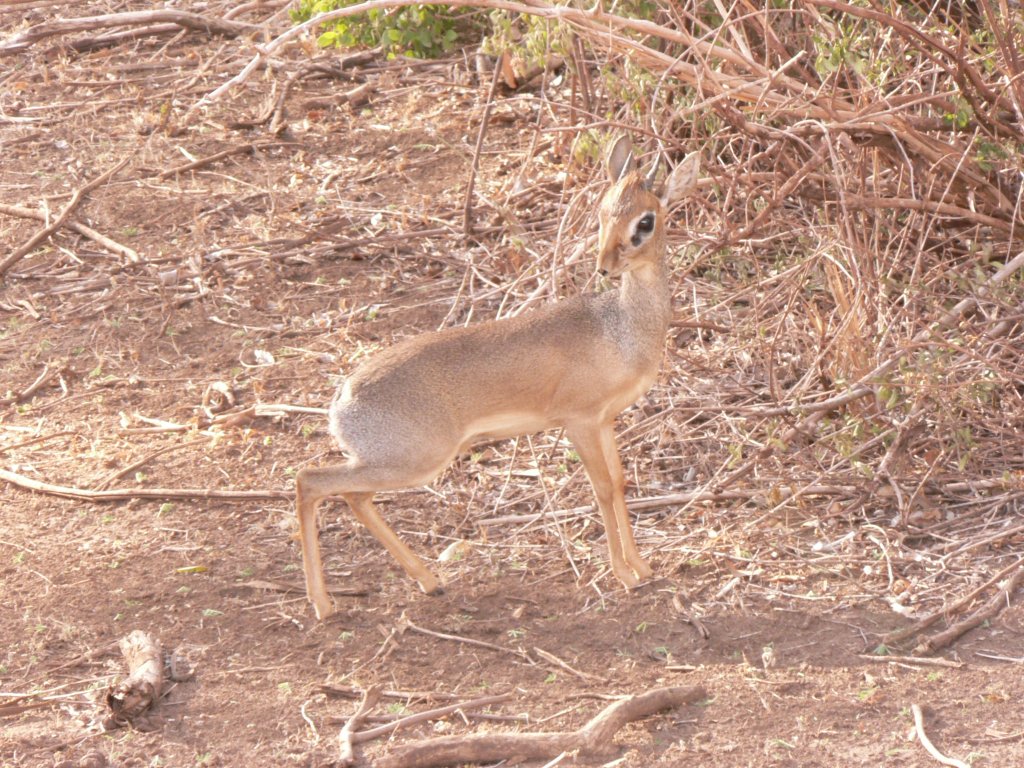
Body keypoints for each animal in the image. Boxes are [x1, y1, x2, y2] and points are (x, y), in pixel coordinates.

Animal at [292, 137, 700, 618]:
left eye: (645, 220)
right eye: (602, 212)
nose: (605, 266)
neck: (619, 328)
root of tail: (342, 401)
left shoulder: (605, 422)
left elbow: (619, 485)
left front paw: (642, 566)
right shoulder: (578, 422)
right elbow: (600, 489)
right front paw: (624, 575)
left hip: (393, 463)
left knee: (351, 495)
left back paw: (429, 581)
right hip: (413, 461)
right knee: (310, 481)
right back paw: (323, 603)